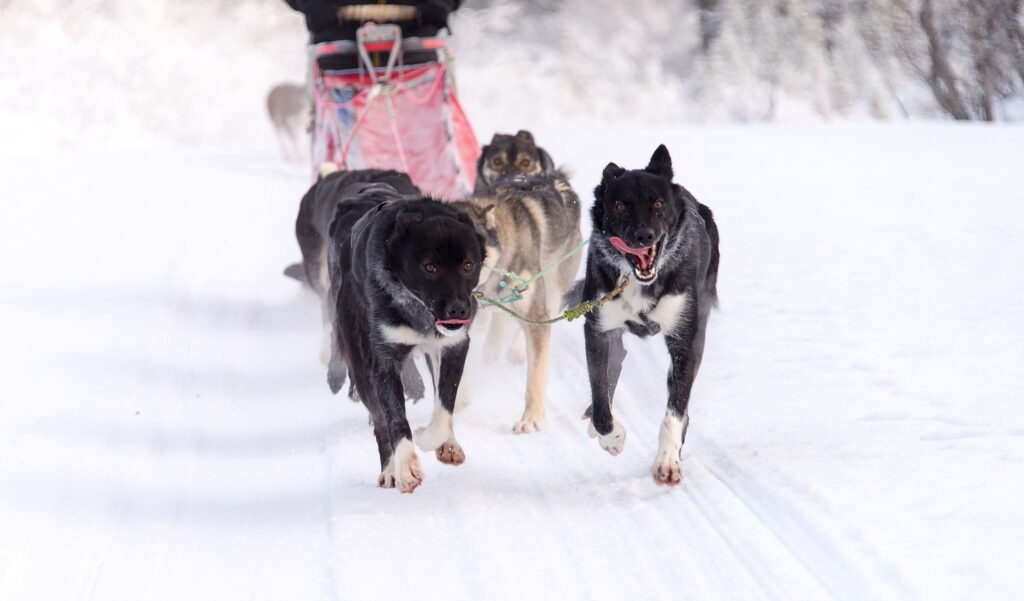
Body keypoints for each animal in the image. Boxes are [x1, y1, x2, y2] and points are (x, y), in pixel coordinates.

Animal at [329, 184, 485, 493]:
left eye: (468, 265)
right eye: (430, 267)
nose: (459, 309)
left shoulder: (454, 346)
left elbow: (445, 403)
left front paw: (434, 438)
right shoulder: (385, 361)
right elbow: (396, 420)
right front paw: (407, 464)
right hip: (362, 368)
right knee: (380, 421)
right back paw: (390, 469)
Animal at [577, 147, 720, 489]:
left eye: (657, 204)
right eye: (619, 205)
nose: (644, 235)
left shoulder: (685, 343)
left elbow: (675, 410)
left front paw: (667, 461)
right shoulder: (597, 331)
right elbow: (600, 393)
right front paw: (610, 435)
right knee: (615, 363)